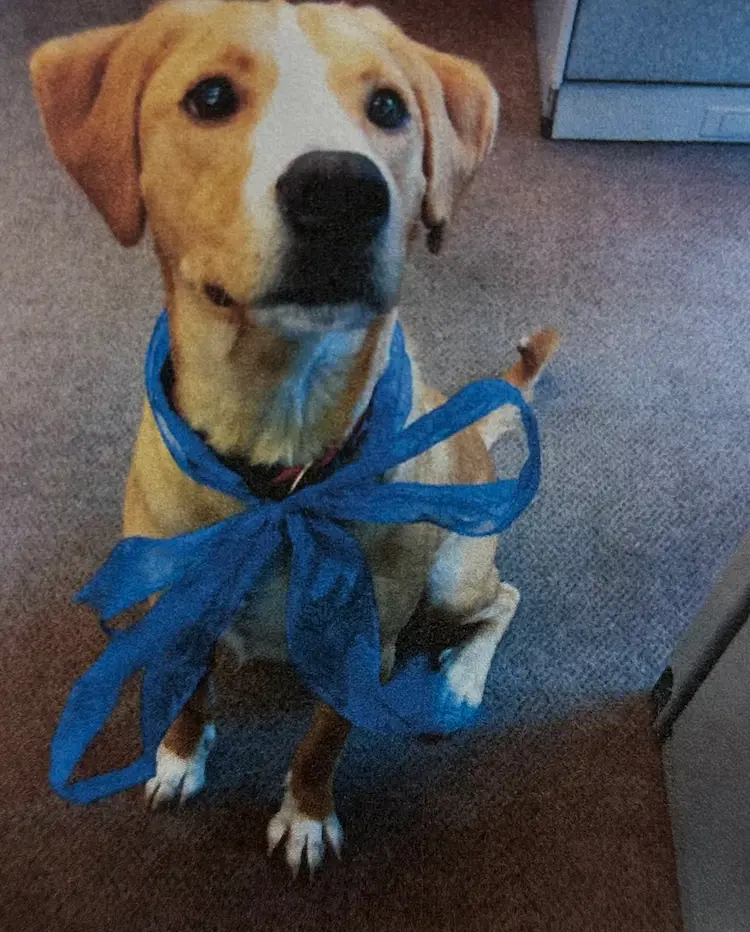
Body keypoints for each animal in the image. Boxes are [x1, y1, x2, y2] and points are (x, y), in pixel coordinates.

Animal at [29, 0, 560, 872]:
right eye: (210, 98)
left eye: (388, 107)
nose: (340, 190)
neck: (278, 456)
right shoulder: (178, 605)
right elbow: (185, 699)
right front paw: (178, 757)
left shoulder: (359, 647)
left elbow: (322, 743)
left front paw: (306, 815)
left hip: (455, 576)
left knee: (503, 599)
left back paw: (459, 679)